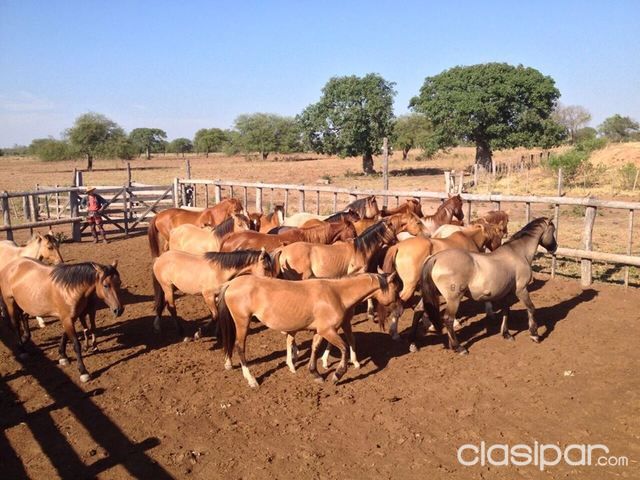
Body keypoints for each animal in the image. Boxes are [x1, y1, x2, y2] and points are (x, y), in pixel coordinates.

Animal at [217, 272, 399, 388]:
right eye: (396, 290)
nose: (399, 309)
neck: (336, 294)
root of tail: (231, 283)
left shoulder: (321, 331)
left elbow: (315, 348)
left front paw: (315, 373)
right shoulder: (328, 331)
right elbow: (344, 348)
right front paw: (337, 374)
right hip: (242, 322)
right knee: (240, 347)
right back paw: (251, 380)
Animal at [419, 217, 557, 355]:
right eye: (553, 230)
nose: (554, 247)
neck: (518, 252)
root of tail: (435, 258)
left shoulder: (506, 292)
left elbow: (506, 311)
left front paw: (506, 334)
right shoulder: (521, 290)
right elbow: (531, 309)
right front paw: (535, 335)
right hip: (453, 299)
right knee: (448, 319)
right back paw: (459, 348)